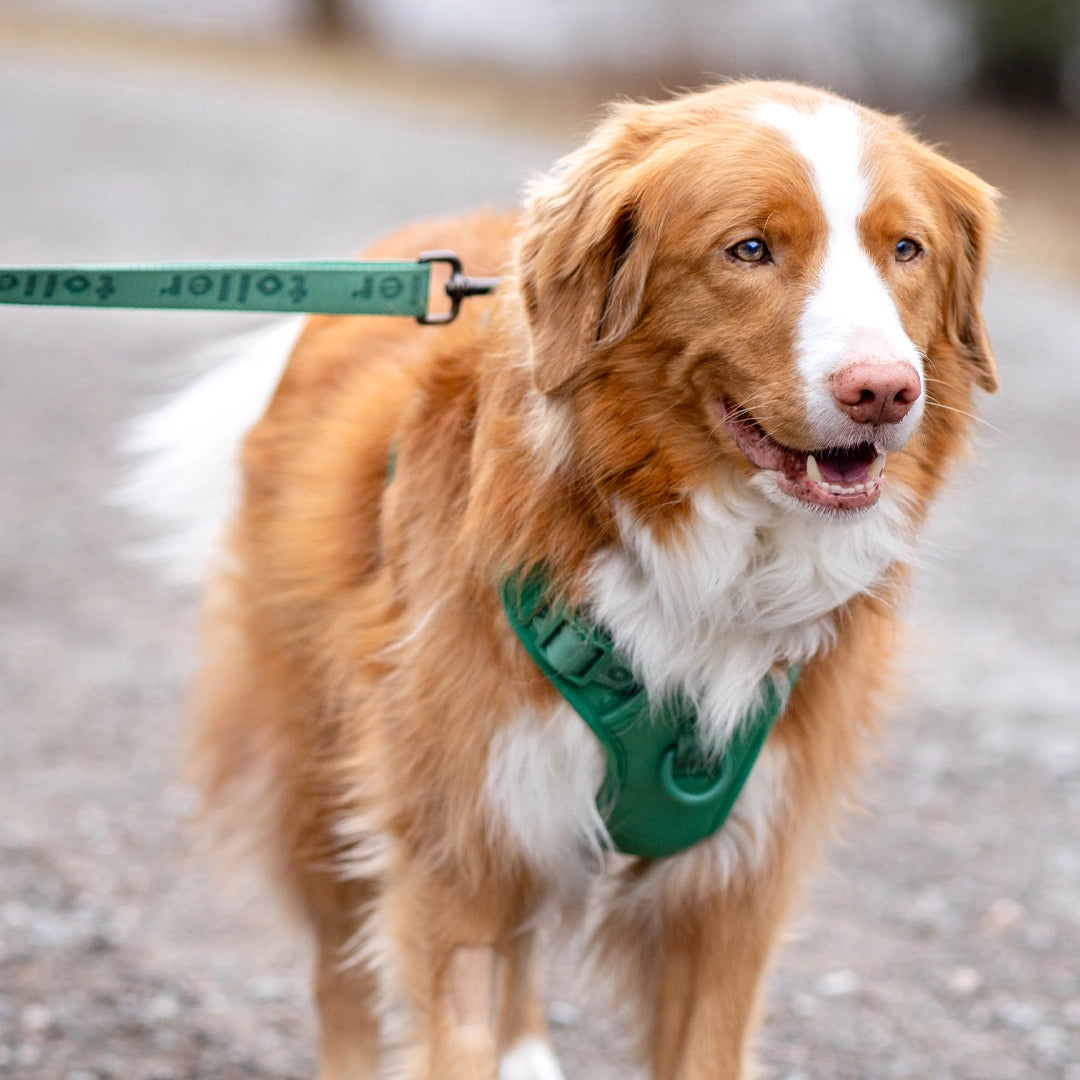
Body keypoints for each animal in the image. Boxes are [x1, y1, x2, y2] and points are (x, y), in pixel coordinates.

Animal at [130, 79, 997, 1075]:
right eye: (749, 249)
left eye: (906, 249)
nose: (885, 391)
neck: (711, 567)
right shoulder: (463, 843)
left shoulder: (735, 892)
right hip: (318, 762)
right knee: (340, 968)